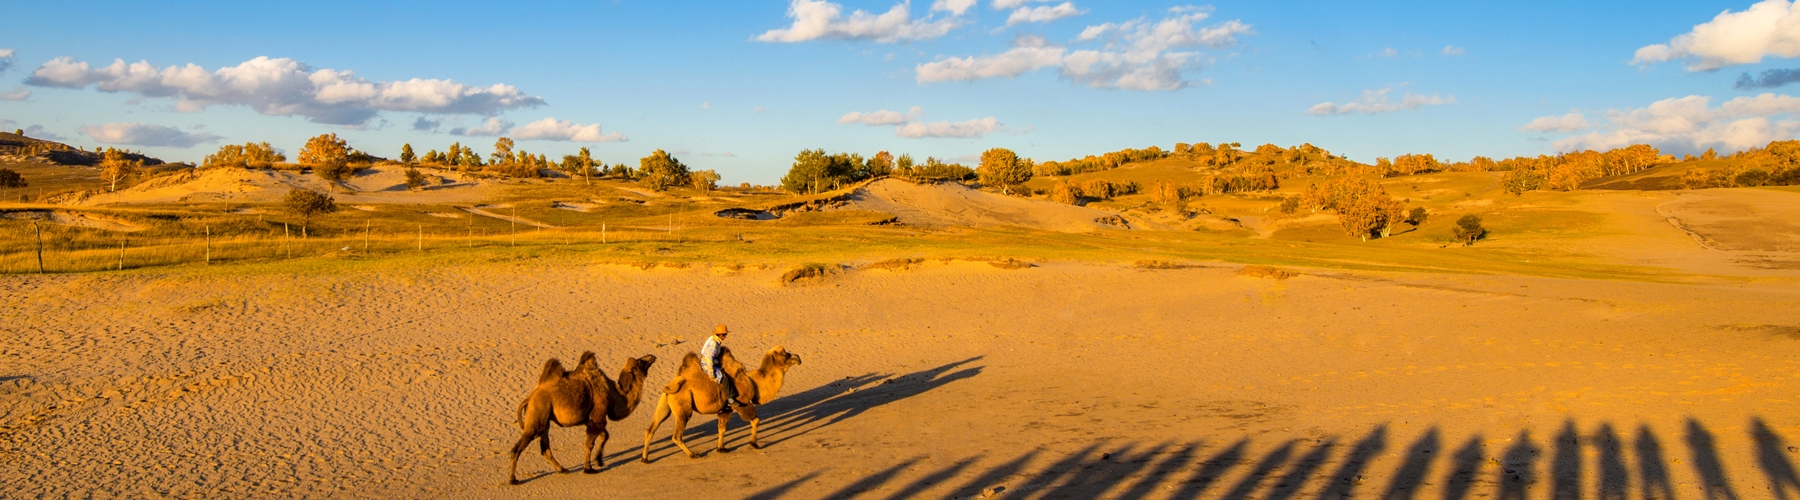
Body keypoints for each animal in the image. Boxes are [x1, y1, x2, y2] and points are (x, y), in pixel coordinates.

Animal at [637, 345, 799, 464]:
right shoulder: (742, 403)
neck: (753, 381)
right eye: (785, 354)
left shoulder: (725, 408)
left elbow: (721, 428)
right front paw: (754, 443)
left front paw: (721, 448)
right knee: (677, 435)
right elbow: (755, 420)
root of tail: (672, 384)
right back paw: (693, 454)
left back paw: (645, 458)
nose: (798, 358)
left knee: (651, 428)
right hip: (683, 405)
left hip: (665, 403)